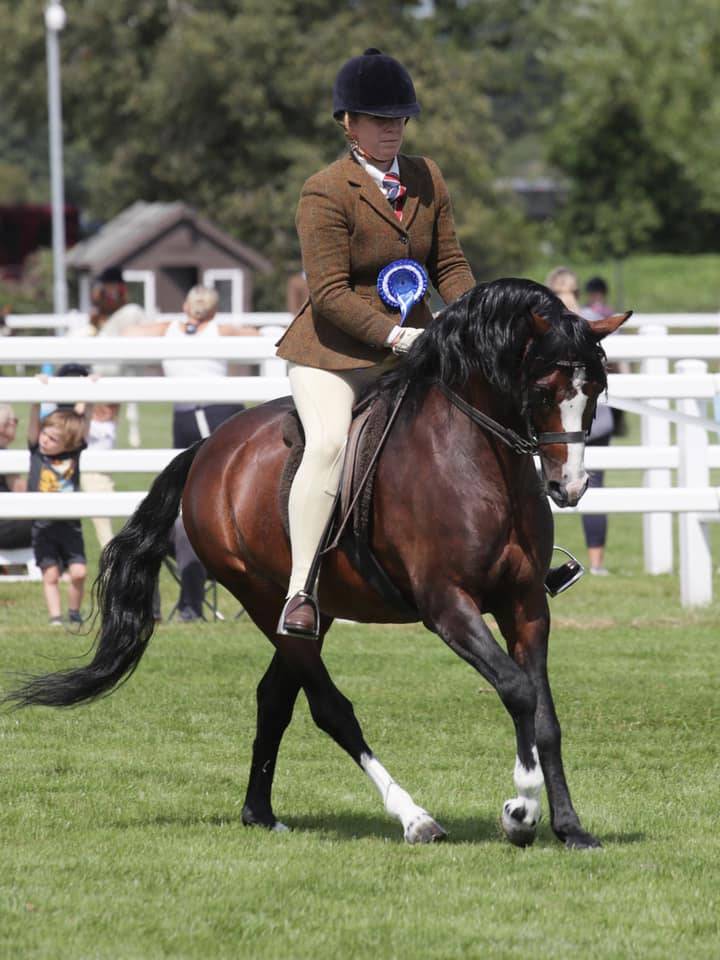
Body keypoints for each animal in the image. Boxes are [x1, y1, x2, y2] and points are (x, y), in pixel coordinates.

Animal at [7, 278, 630, 849]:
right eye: (543, 388)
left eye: (596, 390)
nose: (569, 487)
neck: (476, 459)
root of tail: (209, 450)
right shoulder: (448, 606)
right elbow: (517, 691)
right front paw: (519, 811)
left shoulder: (524, 605)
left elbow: (543, 714)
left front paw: (570, 827)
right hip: (264, 601)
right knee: (330, 708)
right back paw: (414, 818)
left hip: (314, 609)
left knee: (274, 697)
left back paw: (260, 812)